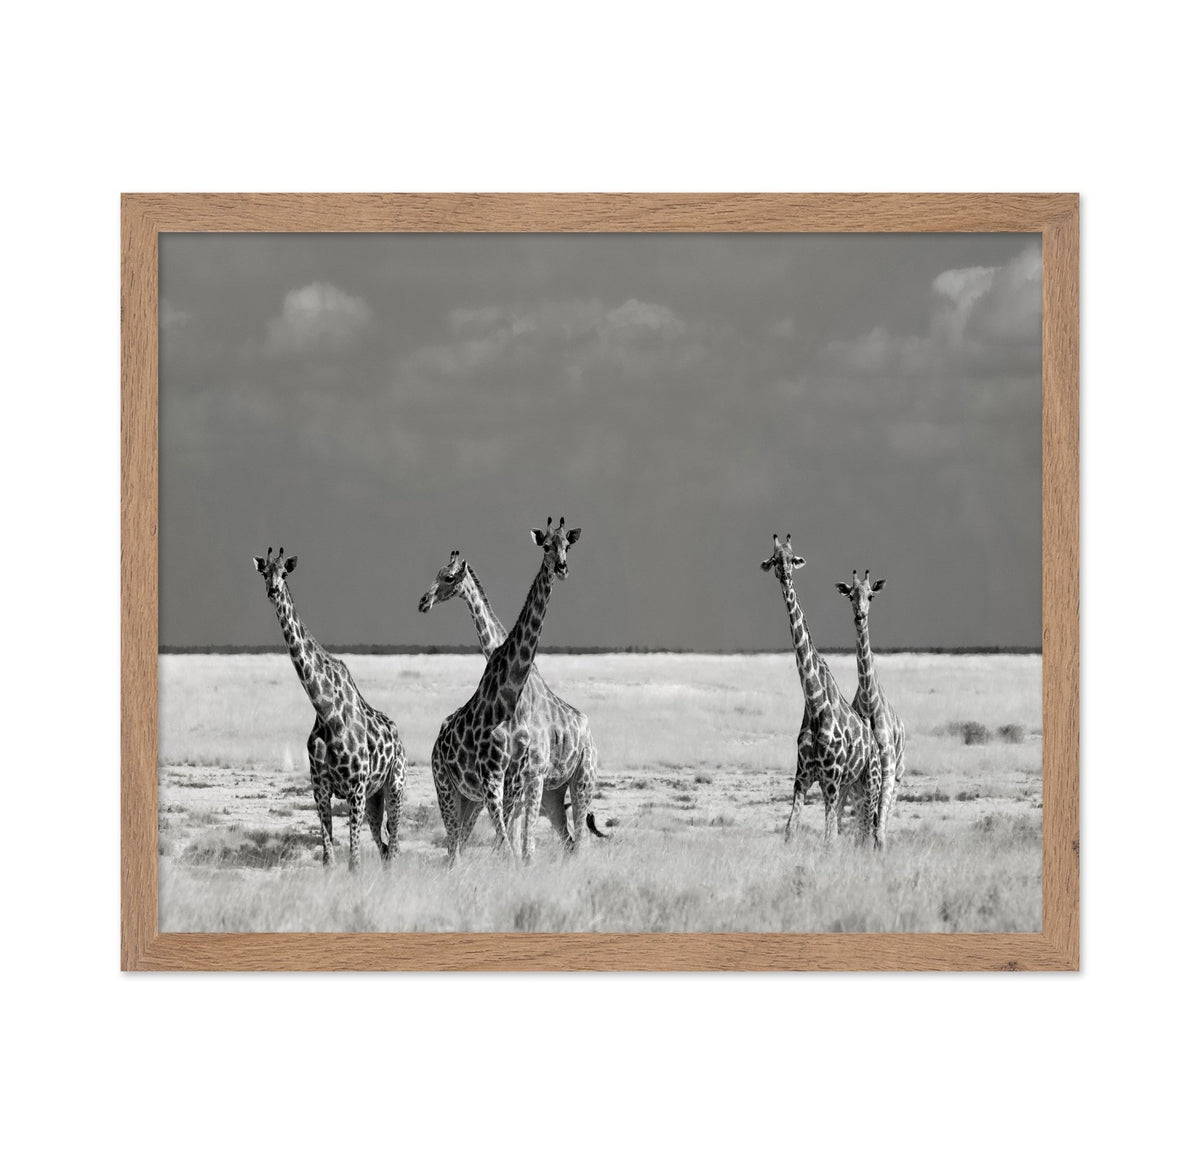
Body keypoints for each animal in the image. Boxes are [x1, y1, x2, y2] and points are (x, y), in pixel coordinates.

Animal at [253, 547, 407, 870]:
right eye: (264, 573)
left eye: (284, 573)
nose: (273, 591)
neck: (326, 711)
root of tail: (399, 738)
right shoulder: (320, 789)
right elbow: (328, 858)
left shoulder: (355, 790)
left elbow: (354, 862)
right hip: (375, 799)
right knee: (385, 847)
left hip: (395, 786)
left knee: (395, 846)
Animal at [419, 549, 604, 849]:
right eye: (437, 573)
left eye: (448, 577)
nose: (424, 601)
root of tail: (588, 729)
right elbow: (514, 837)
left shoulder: (529, 774)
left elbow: (520, 840)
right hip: (552, 791)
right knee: (566, 839)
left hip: (581, 776)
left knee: (577, 838)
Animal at [760, 534, 882, 847]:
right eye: (774, 559)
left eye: (793, 558)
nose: (785, 574)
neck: (815, 704)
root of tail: (875, 744)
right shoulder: (802, 778)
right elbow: (791, 830)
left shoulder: (830, 779)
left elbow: (829, 840)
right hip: (850, 784)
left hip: (870, 781)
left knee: (871, 830)